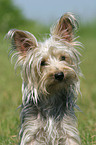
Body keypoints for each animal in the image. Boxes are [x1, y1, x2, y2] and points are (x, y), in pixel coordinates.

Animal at [6, 13, 82, 144]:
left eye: (63, 57)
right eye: (42, 63)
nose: (59, 75)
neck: (51, 96)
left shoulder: (67, 130)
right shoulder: (32, 132)